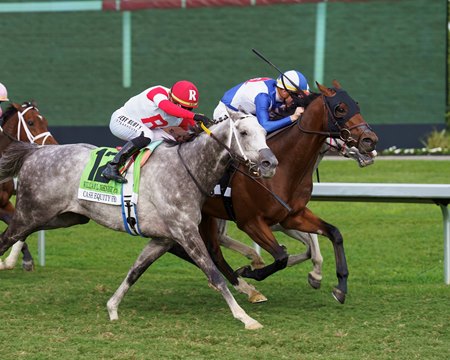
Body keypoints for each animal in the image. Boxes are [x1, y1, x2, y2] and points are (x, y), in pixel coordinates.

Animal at [0, 101, 57, 270]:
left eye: (45, 122)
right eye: (31, 122)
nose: (53, 145)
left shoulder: (4, 203)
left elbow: (20, 230)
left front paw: (22, 260)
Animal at [167, 81, 378, 304]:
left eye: (356, 104)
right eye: (340, 109)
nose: (371, 141)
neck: (286, 166)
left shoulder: (292, 216)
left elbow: (332, 234)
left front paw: (339, 285)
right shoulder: (251, 222)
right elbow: (281, 257)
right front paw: (251, 270)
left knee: (212, 250)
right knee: (212, 250)